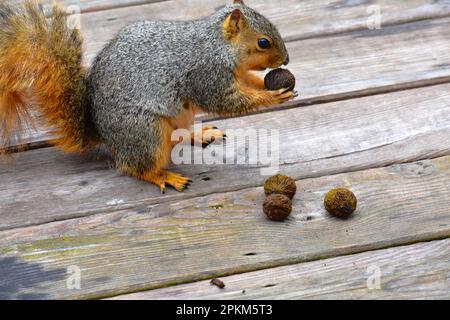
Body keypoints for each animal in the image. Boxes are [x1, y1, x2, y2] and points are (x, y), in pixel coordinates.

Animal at [0, 0, 294, 192]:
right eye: (263, 42)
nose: (287, 60)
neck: (217, 45)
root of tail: (102, 132)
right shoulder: (206, 75)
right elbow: (226, 101)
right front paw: (272, 96)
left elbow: (247, 81)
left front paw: (272, 85)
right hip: (145, 131)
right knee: (135, 166)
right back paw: (163, 176)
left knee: (179, 136)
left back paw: (199, 134)